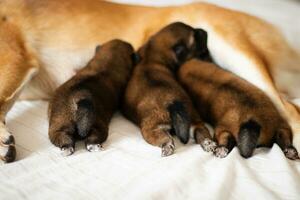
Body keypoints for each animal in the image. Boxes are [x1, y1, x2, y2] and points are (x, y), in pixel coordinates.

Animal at [122, 21, 216, 156]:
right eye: (195, 37)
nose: (205, 31)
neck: (152, 57)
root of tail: (173, 103)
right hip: (194, 119)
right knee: (201, 130)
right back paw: (208, 143)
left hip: (150, 128)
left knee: (165, 138)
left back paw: (167, 147)